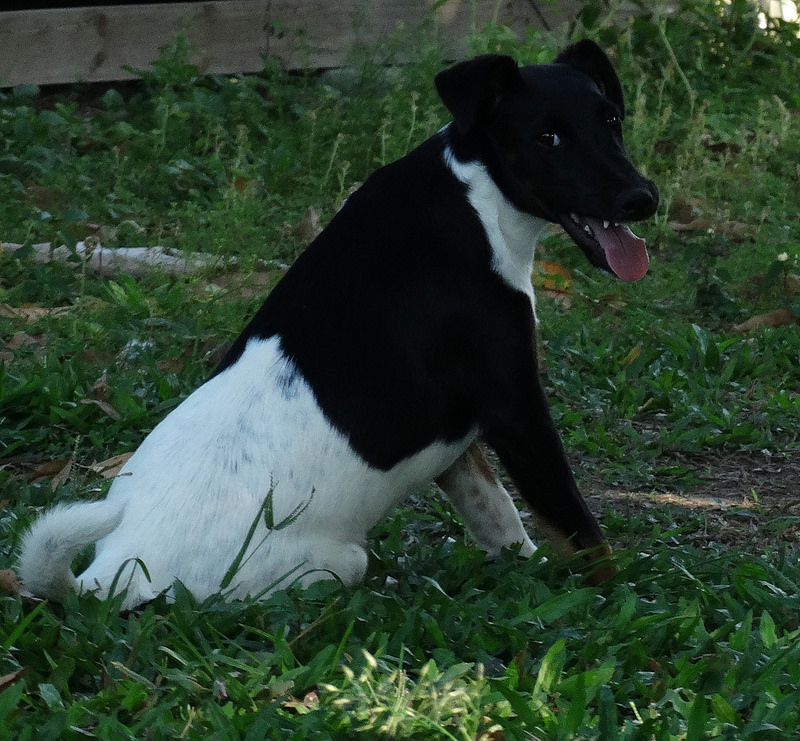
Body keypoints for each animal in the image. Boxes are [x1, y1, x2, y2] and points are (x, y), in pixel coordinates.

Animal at [18, 39, 656, 608]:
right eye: (549, 138)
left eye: (613, 120)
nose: (643, 198)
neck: (476, 196)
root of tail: (111, 579)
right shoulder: (516, 408)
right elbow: (579, 530)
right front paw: (614, 598)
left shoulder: (463, 446)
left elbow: (501, 520)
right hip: (340, 561)